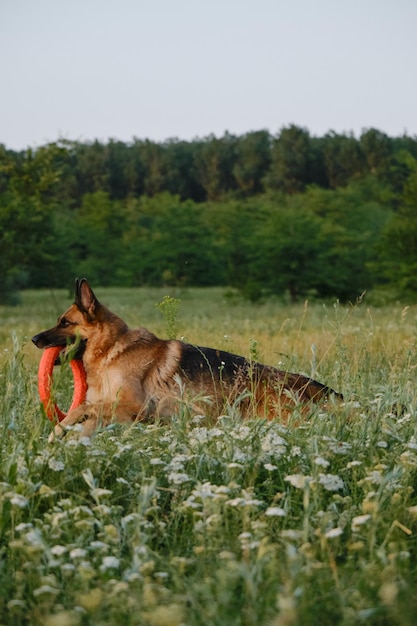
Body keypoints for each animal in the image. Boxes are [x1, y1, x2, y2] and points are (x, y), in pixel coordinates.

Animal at [32, 280, 342, 438]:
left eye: (64, 322)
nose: (34, 340)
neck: (112, 350)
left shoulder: (134, 406)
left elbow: (81, 408)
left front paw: (58, 430)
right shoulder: (116, 411)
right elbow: (87, 415)